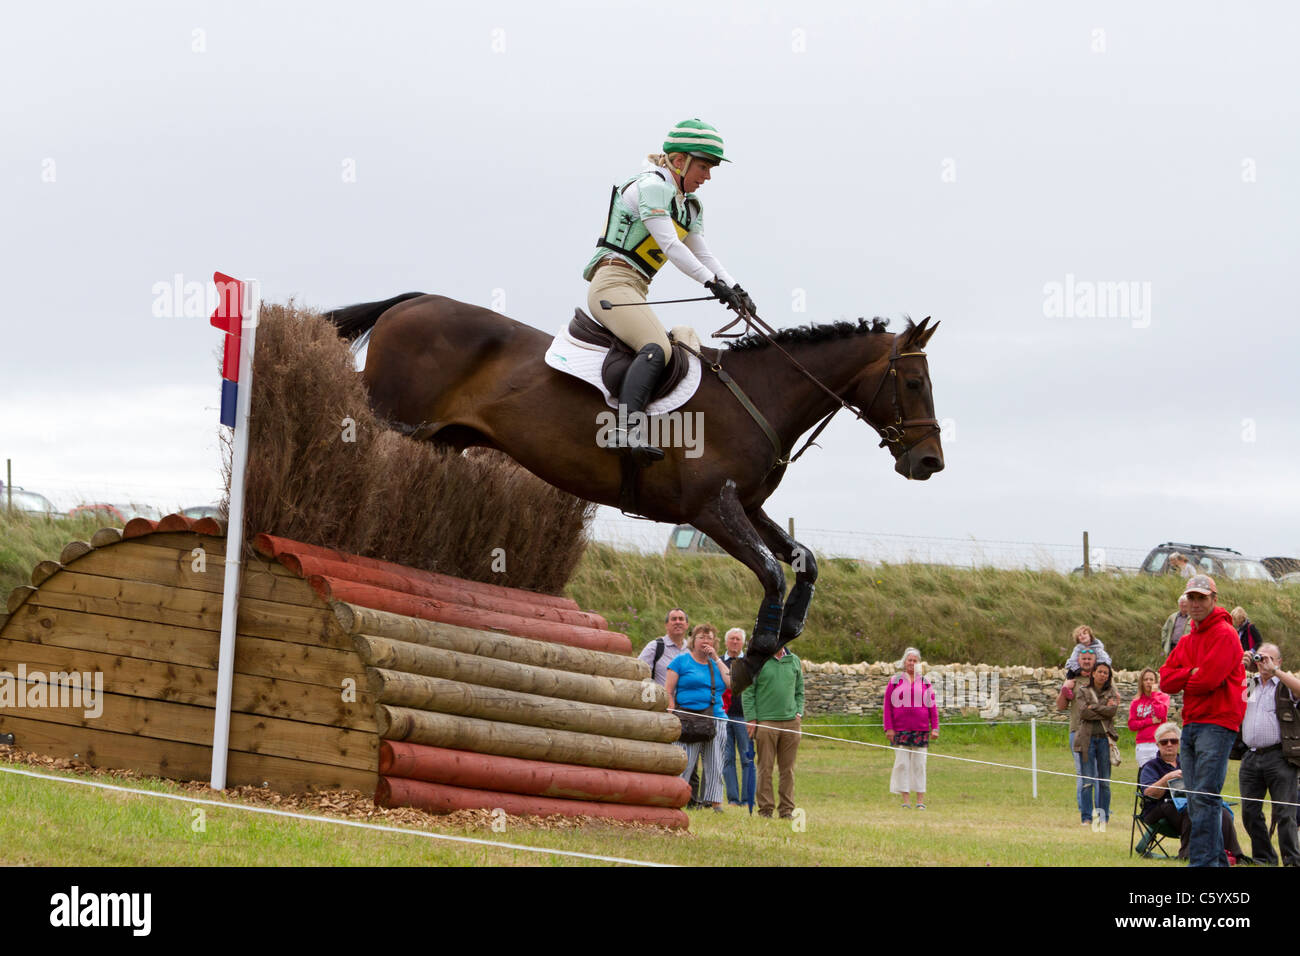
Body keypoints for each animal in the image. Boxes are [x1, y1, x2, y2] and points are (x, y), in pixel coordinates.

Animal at [327, 295, 946, 691]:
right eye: (915, 383)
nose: (929, 462)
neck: (763, 394)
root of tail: (413, 302)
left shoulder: (746, 506)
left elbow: (805, 561)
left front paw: (788, 629)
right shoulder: (711, 508)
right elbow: (772, 570)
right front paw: (754, 657)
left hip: (441, 440)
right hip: (389, 415)